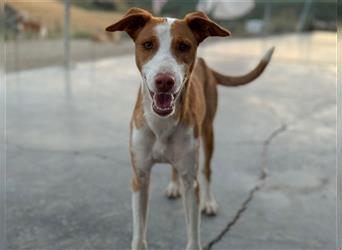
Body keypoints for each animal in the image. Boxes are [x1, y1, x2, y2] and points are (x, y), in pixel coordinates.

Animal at [105, 7, 274, 250]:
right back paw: (173, 186)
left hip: (208, 133)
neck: (162, 124)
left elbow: (193, 231)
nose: (164, 81)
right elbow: (139, 234)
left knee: (207, 171)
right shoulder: (140, 177)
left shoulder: (190, 182)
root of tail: (206, 64)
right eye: (148, 44)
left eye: (184, 46)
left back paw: (209, 202)